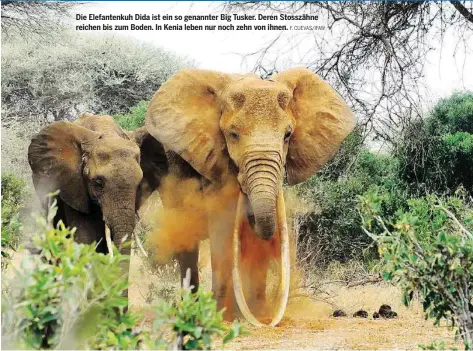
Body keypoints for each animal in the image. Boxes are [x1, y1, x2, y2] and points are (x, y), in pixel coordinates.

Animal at [146, 68, 356, 328]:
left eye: (287, 135)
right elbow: (223, 226)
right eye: (233, 135)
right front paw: (223, 316)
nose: (268, 322)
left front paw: (259, 313)